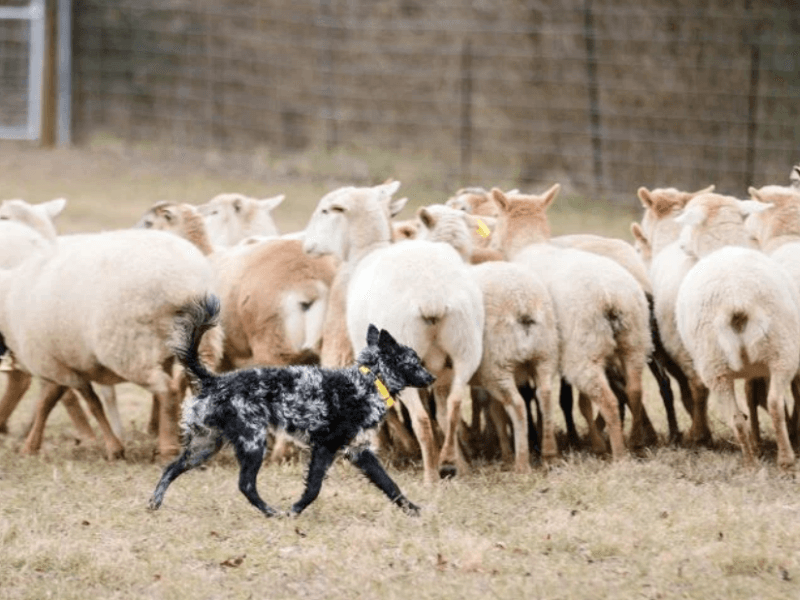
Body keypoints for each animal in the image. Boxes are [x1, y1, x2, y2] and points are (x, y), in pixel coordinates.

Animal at [0, 228, 221, 460]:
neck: (6, 301)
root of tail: (185, 283)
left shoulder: (55, 365)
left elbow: (88, 403)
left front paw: (114, 448)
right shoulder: (63, 362)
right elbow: (51, 401)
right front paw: (31, 446)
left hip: (130, 350)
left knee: (167, 391)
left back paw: (168, 449)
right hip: (196, 341)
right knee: (196, 384)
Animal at [148, 294, 435, 517]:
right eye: (415, 362)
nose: (432, 377)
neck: (369, 381)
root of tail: (214, 380)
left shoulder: (360, 451)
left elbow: (391, 486)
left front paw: (413, 510)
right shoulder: (326, 446)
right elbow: (313, 488)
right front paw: (295, 511)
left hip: (204, 445)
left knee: (171, 468)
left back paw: (154, 503)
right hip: (252, 443)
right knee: (246, 485)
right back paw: (271, 512)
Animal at [303, 181, 485, 483]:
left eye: (326, 210)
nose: (306, 244)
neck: (365, 252)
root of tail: (432, 297)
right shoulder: (442, 370)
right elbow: (444, 411)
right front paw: (461, 463)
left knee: (422, 419)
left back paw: (431, 477)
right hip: (466, 346)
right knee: (456, 404)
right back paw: (448, 460)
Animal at [489, 185, 652, 460]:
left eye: (496, 217)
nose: (490, 242)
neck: (529, 244)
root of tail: (612, 298)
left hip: (584, 350)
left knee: (608, 400)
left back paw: (619, 453)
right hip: (634, 340)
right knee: (635, 390)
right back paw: (637, 441)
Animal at [674, 193, 800, 468]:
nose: (681, 246)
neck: (722, 245)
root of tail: (736, 296)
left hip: (718, 364)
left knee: (749, 412)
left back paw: (763, 461)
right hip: (775, 351)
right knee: (768, 406)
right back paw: (773, 460)